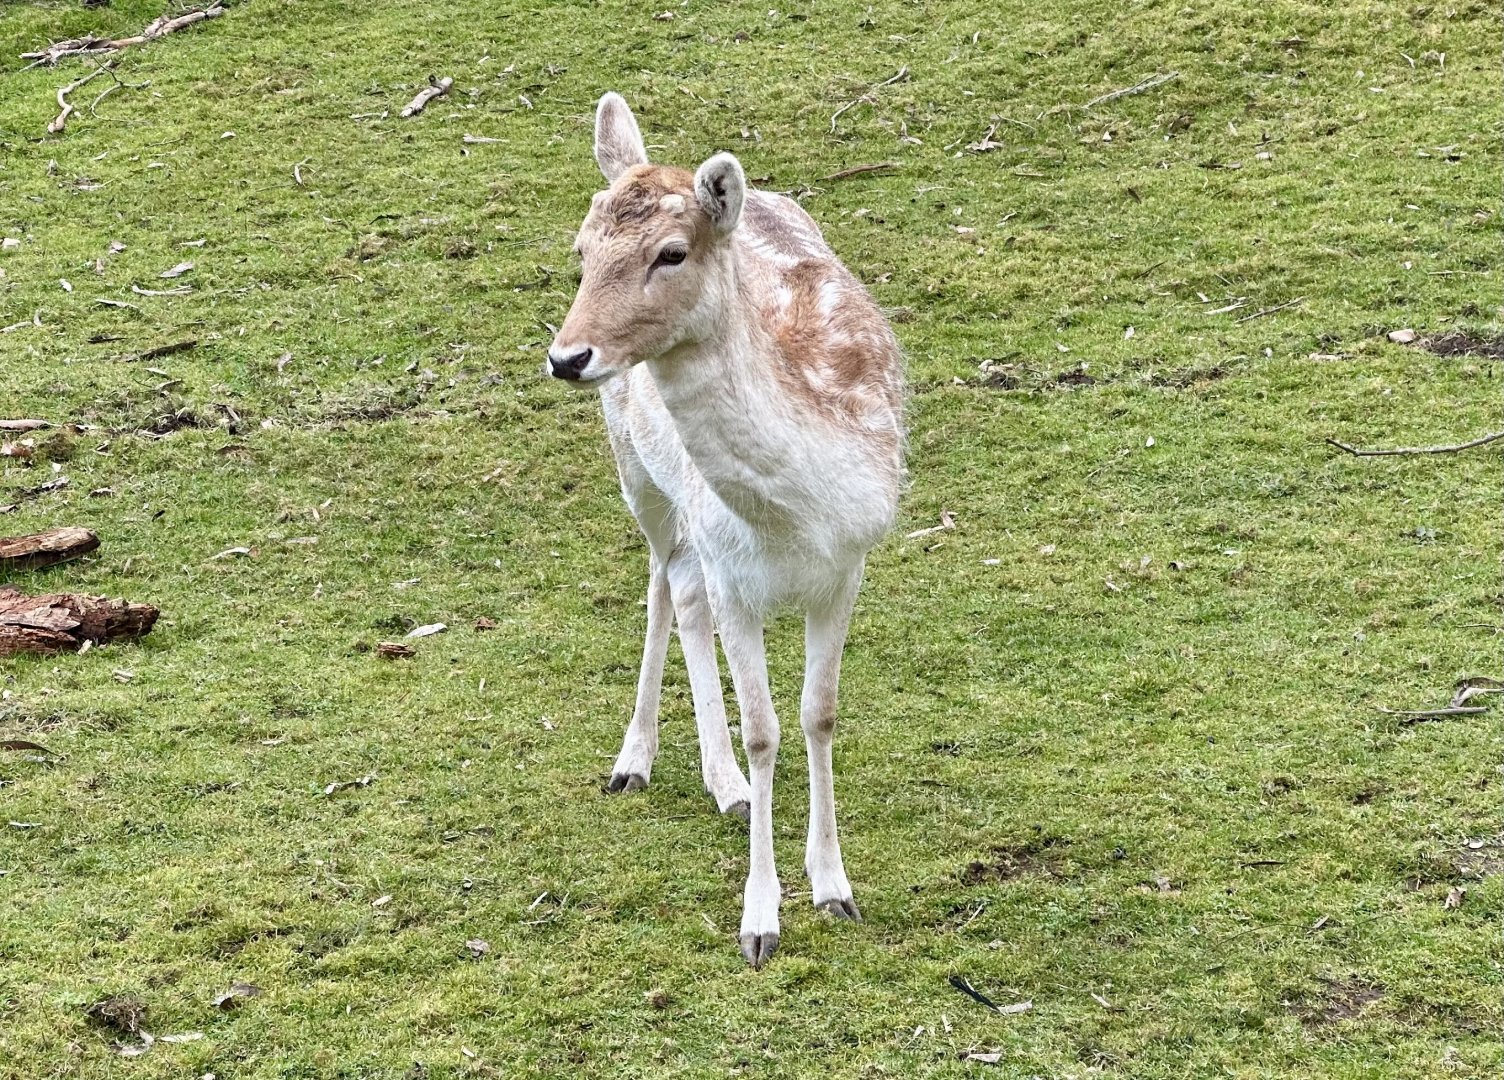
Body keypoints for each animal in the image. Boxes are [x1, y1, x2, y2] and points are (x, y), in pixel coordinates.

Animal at [546, 93, 905, 968]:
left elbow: (818, 714)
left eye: (671, 253)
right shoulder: (736, 575)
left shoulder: (848, 567)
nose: (567, 356)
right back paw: (640, 762)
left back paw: (722, 785)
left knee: (680, 588)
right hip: (638, 470)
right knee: (662, 584)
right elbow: (765, 730)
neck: (794, 513)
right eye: (581, 249)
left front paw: (834, 887)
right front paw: (760, 919)